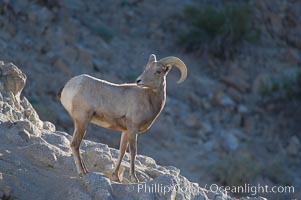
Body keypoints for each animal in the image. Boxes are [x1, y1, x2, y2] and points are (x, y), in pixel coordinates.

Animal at [58, 54, 185, 182]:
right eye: (146, 68)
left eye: (158, 71)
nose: (138, 81)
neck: (148, 99)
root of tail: (68, 86)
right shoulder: (133, 129)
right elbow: (133, 152)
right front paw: (134, 178)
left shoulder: (125, 131)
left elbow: (122, 152)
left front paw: (116, 177)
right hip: (82, 121)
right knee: (75, 144)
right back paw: (82, 173)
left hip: (79, 123)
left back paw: (86, 171)